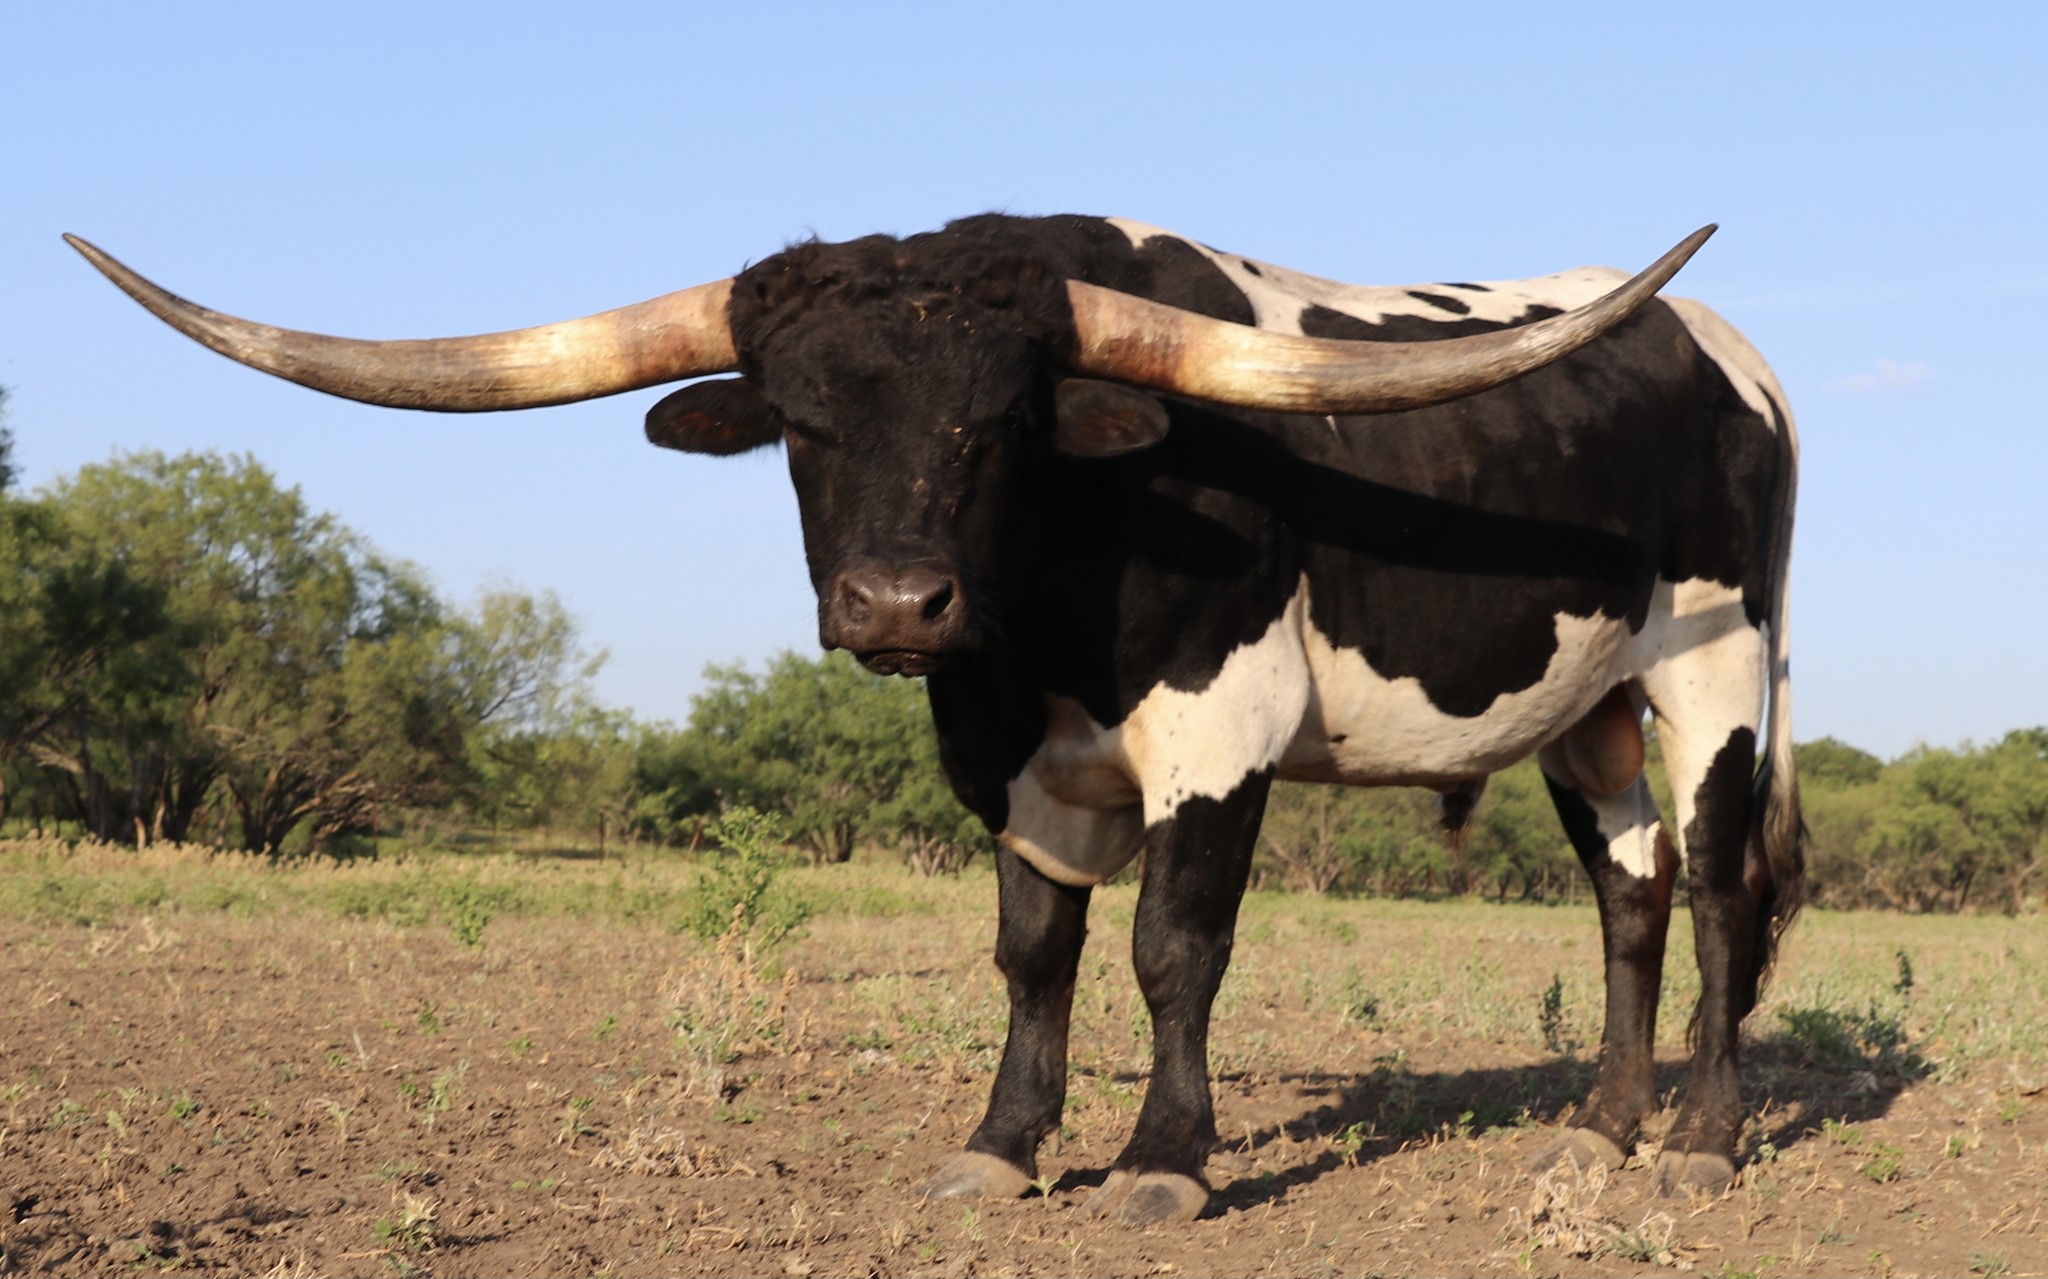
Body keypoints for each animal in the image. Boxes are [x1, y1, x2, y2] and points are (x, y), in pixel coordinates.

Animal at [69, 213, 1804, 1224]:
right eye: (803, 423)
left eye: (999, 419)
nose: (899, 603)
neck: (1043, 613)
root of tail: (1732, 360)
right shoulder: (1003, 750)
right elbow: (1033, 948)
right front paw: (1001, 1144)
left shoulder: (1224, 722)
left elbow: (1170, 945)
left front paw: (1162, 1162)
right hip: (1586, 705)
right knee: (1631, 893)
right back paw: (1598, 1134)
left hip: (1717, 663)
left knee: (1722, 889)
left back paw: (1701, 1145)